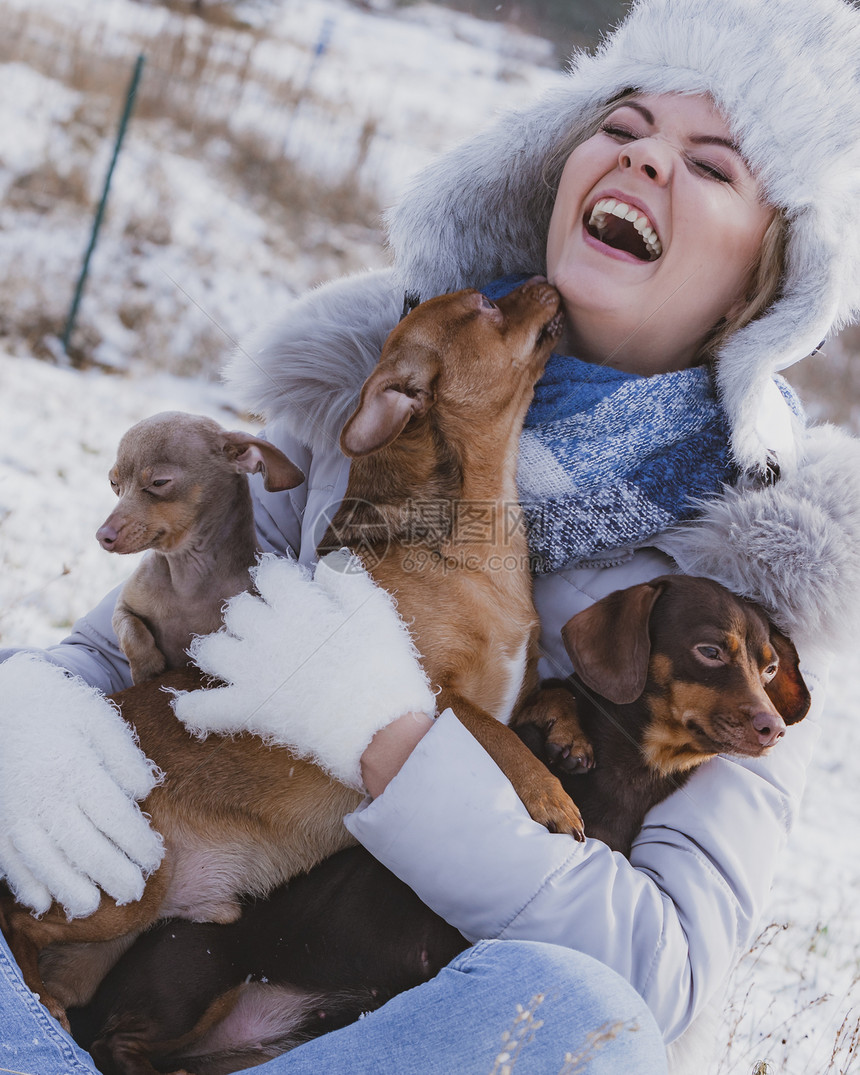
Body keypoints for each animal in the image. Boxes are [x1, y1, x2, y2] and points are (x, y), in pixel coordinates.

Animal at [98, 410, 305, 679]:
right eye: (114, 484)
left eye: (159, 482)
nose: (102, 535)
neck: (187, 575)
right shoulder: (124, 607)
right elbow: (131, 633)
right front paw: (148, 667)